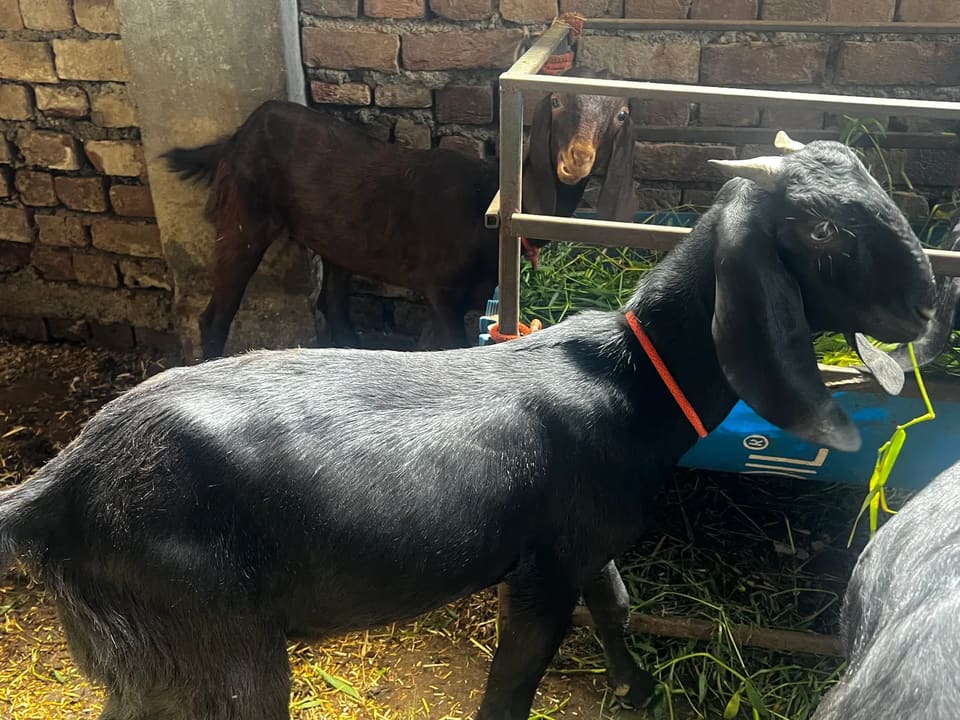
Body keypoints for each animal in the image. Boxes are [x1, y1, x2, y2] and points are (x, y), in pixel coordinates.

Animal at [0, 136, 936, 720]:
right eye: (823, 228)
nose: (931, 302)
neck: (632, 382)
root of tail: (60, 483)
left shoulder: (586, 543)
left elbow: (618, 608)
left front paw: (638, 691)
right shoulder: (542, 570)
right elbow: (512, 686)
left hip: (145, 650)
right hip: (211, 640)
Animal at [163, 86, 636, 359]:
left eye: (621, 115)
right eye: (555, 102)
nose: (576, 160)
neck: (489, 206)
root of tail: (238, 134)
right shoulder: (441, 288)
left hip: (336, 238)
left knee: (333, 304)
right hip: (244, 214)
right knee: (216, 313)